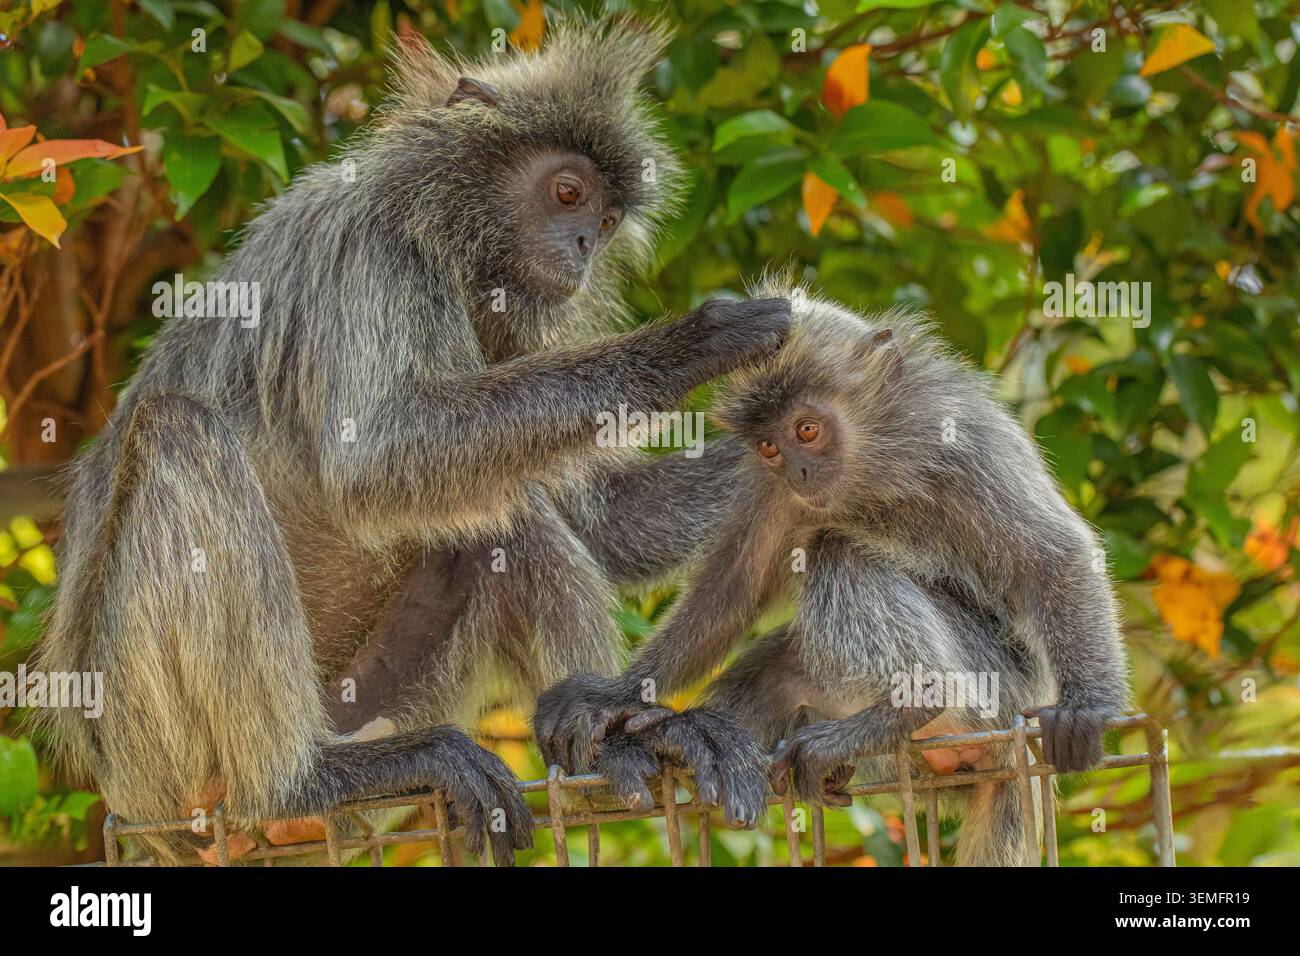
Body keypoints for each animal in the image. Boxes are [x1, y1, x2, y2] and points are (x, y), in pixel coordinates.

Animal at [32, 20, 789, 865]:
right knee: (180, 433)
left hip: (381, 696)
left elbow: (606, 521)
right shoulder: (371, 254)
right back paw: (296, 788)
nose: (585, 245)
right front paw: (696, 344)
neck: (450, 248)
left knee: (505, 517)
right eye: (568, 193)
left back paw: (617, 741)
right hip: (152, 748)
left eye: (606, 220)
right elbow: (377, 458)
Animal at [535, 288, 1131, 865]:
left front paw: (1088, 706)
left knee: (840, 550)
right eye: (770, 446)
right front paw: (614, 695)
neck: (869, 476)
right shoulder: (771, 486)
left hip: (996, 687)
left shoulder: (964, 440)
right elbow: (734, 589)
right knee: (779, 662)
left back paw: (914, 703)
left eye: (807, 429)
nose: (799, 471)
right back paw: (692, 743)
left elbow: (1051, 555)